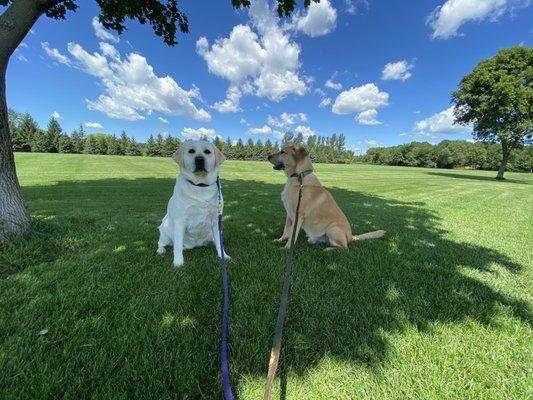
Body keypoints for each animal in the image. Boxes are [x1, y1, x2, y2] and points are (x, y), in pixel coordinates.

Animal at [157, 139, 230, 268]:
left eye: (207, 151)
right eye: (191, 151)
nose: (199, 159)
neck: (200, 186)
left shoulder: (216, 219)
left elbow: (219, 243)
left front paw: (223, 256)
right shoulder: (180, 220)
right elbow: (177, 246)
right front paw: (178, 263)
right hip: (166, 232)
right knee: (161, 242)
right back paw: (161, 250)